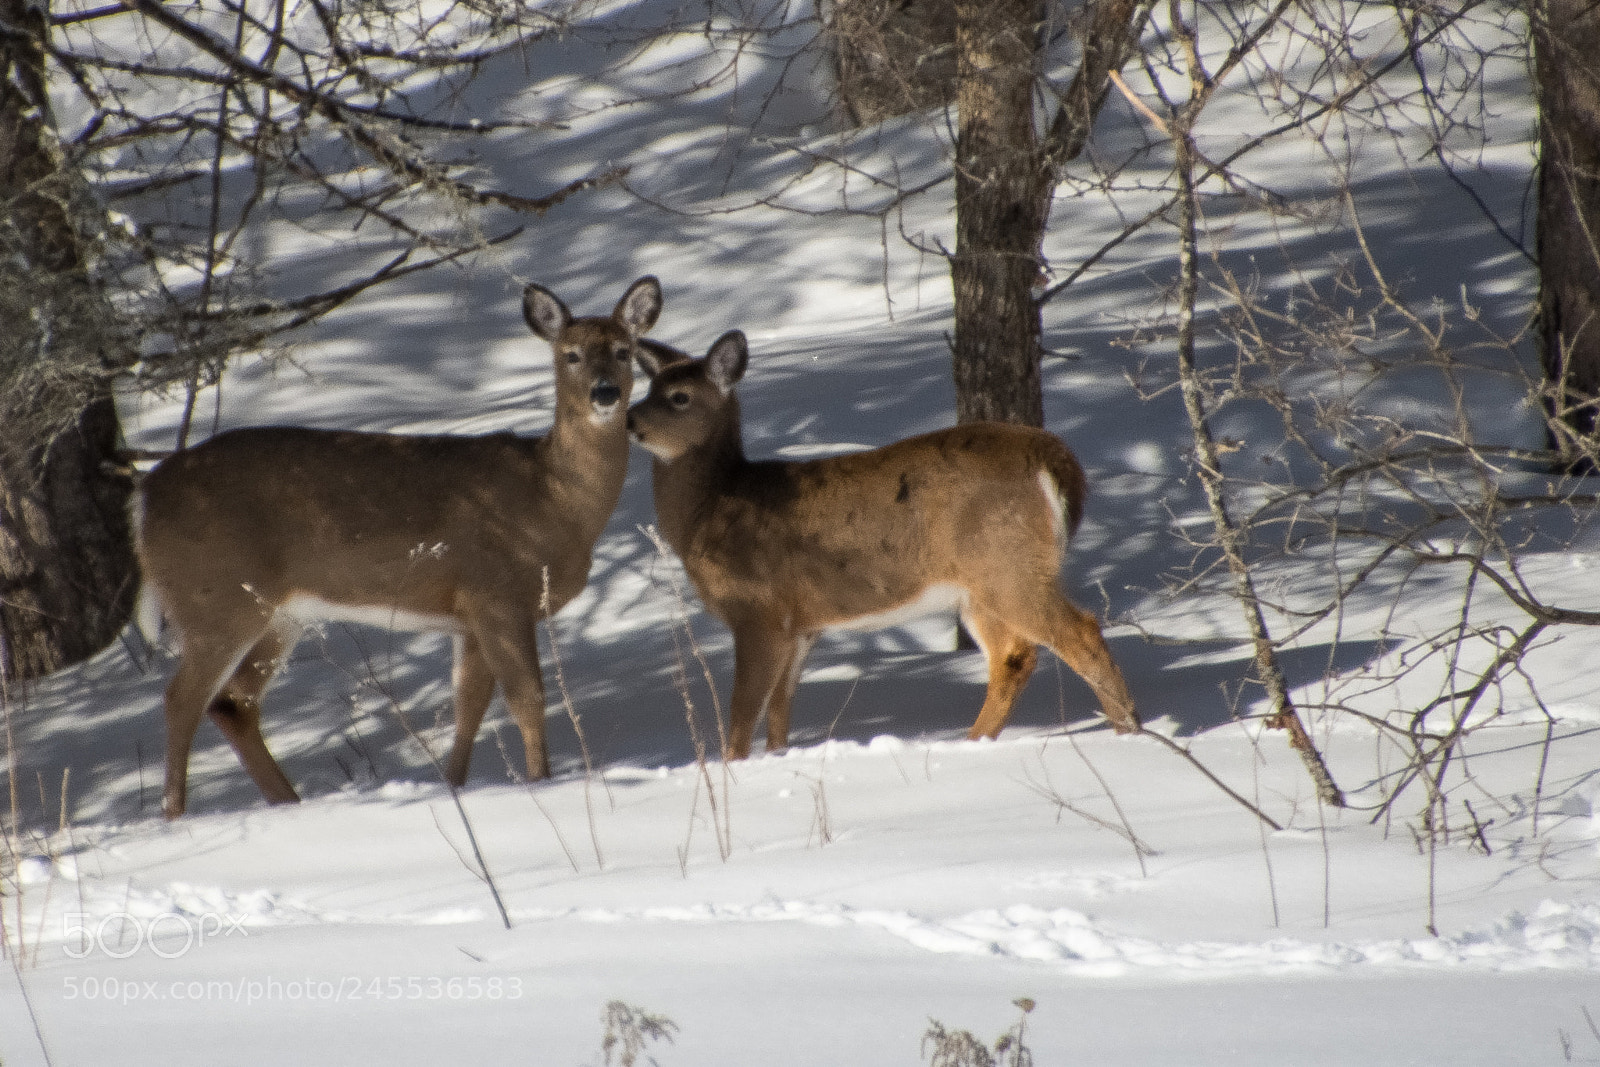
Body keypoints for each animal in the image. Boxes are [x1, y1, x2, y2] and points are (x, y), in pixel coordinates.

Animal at [135, 275, 663, 818]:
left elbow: (468, 707)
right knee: (182, 699)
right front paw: (542, 784)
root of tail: (145, 495)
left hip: (279, 614)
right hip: (214, 599)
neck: (551, 500)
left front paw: (455, 788)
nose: (605, 392)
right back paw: (174, 815)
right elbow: (529, 699)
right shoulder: (498, 594)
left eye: (624, 351)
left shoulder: (469, 616)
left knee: (232, 703)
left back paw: (288, 803)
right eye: (570, 354)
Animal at [626, 331, 1142, 761]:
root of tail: (1057, 459)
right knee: (1014, 656)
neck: (711, 507)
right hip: (982, 586)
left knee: (1079, 631)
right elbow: (779, 710)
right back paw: (975, 742)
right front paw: (778, 759)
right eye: (649, 389)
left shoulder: (758, 609)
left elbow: (741, 715)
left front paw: (733, 770)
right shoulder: (802, 626)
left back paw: (1129, 733)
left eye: (678, 397)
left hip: (1008, 564)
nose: (629, 418)